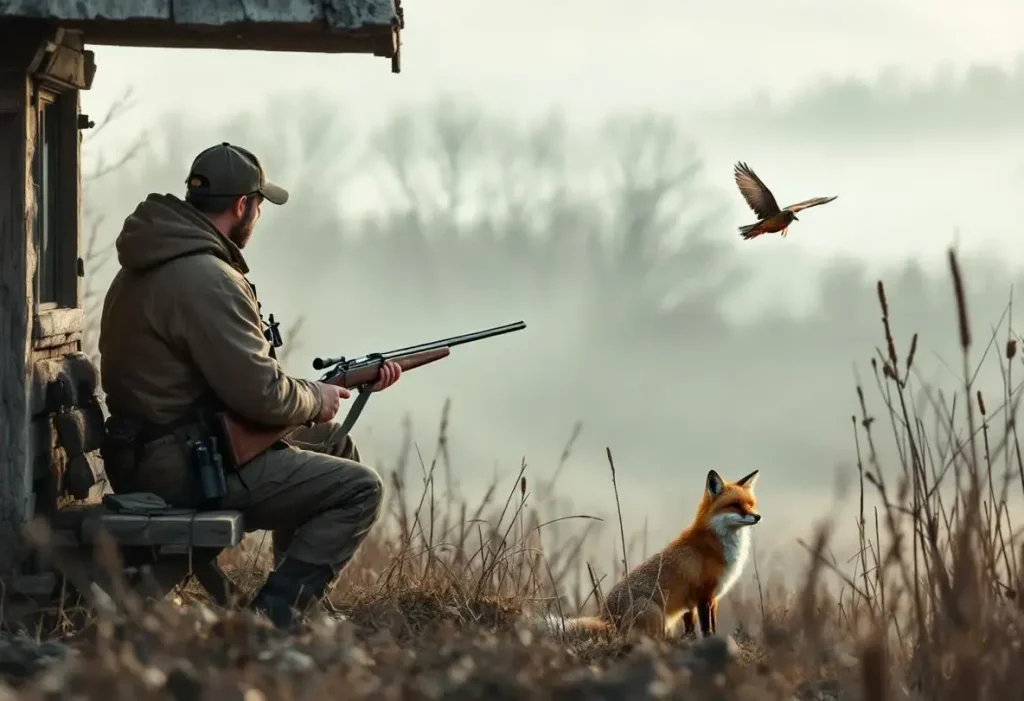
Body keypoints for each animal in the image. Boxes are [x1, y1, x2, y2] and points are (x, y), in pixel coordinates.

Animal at [542, 469, 761, 640]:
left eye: (751, 504)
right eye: (735, 505)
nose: (758, 517)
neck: (717, 543)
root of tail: (607, 618)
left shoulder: (698, 601)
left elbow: (692, 628)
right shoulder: (704, 595)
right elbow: (708, 629)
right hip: (654, 613)